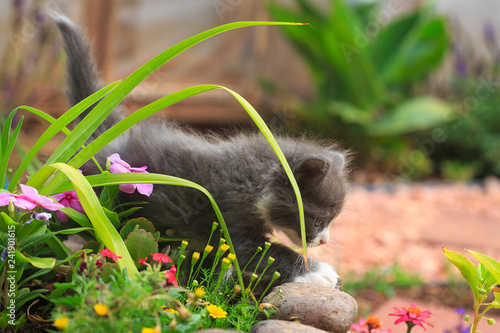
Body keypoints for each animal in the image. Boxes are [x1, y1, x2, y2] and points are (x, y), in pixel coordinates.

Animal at [54, 14, 348, 290]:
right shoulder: (229, 215)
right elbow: (261, 253)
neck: (253, 180)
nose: (325, 241)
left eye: (332, 220)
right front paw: (320, 272)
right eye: (319, 220)